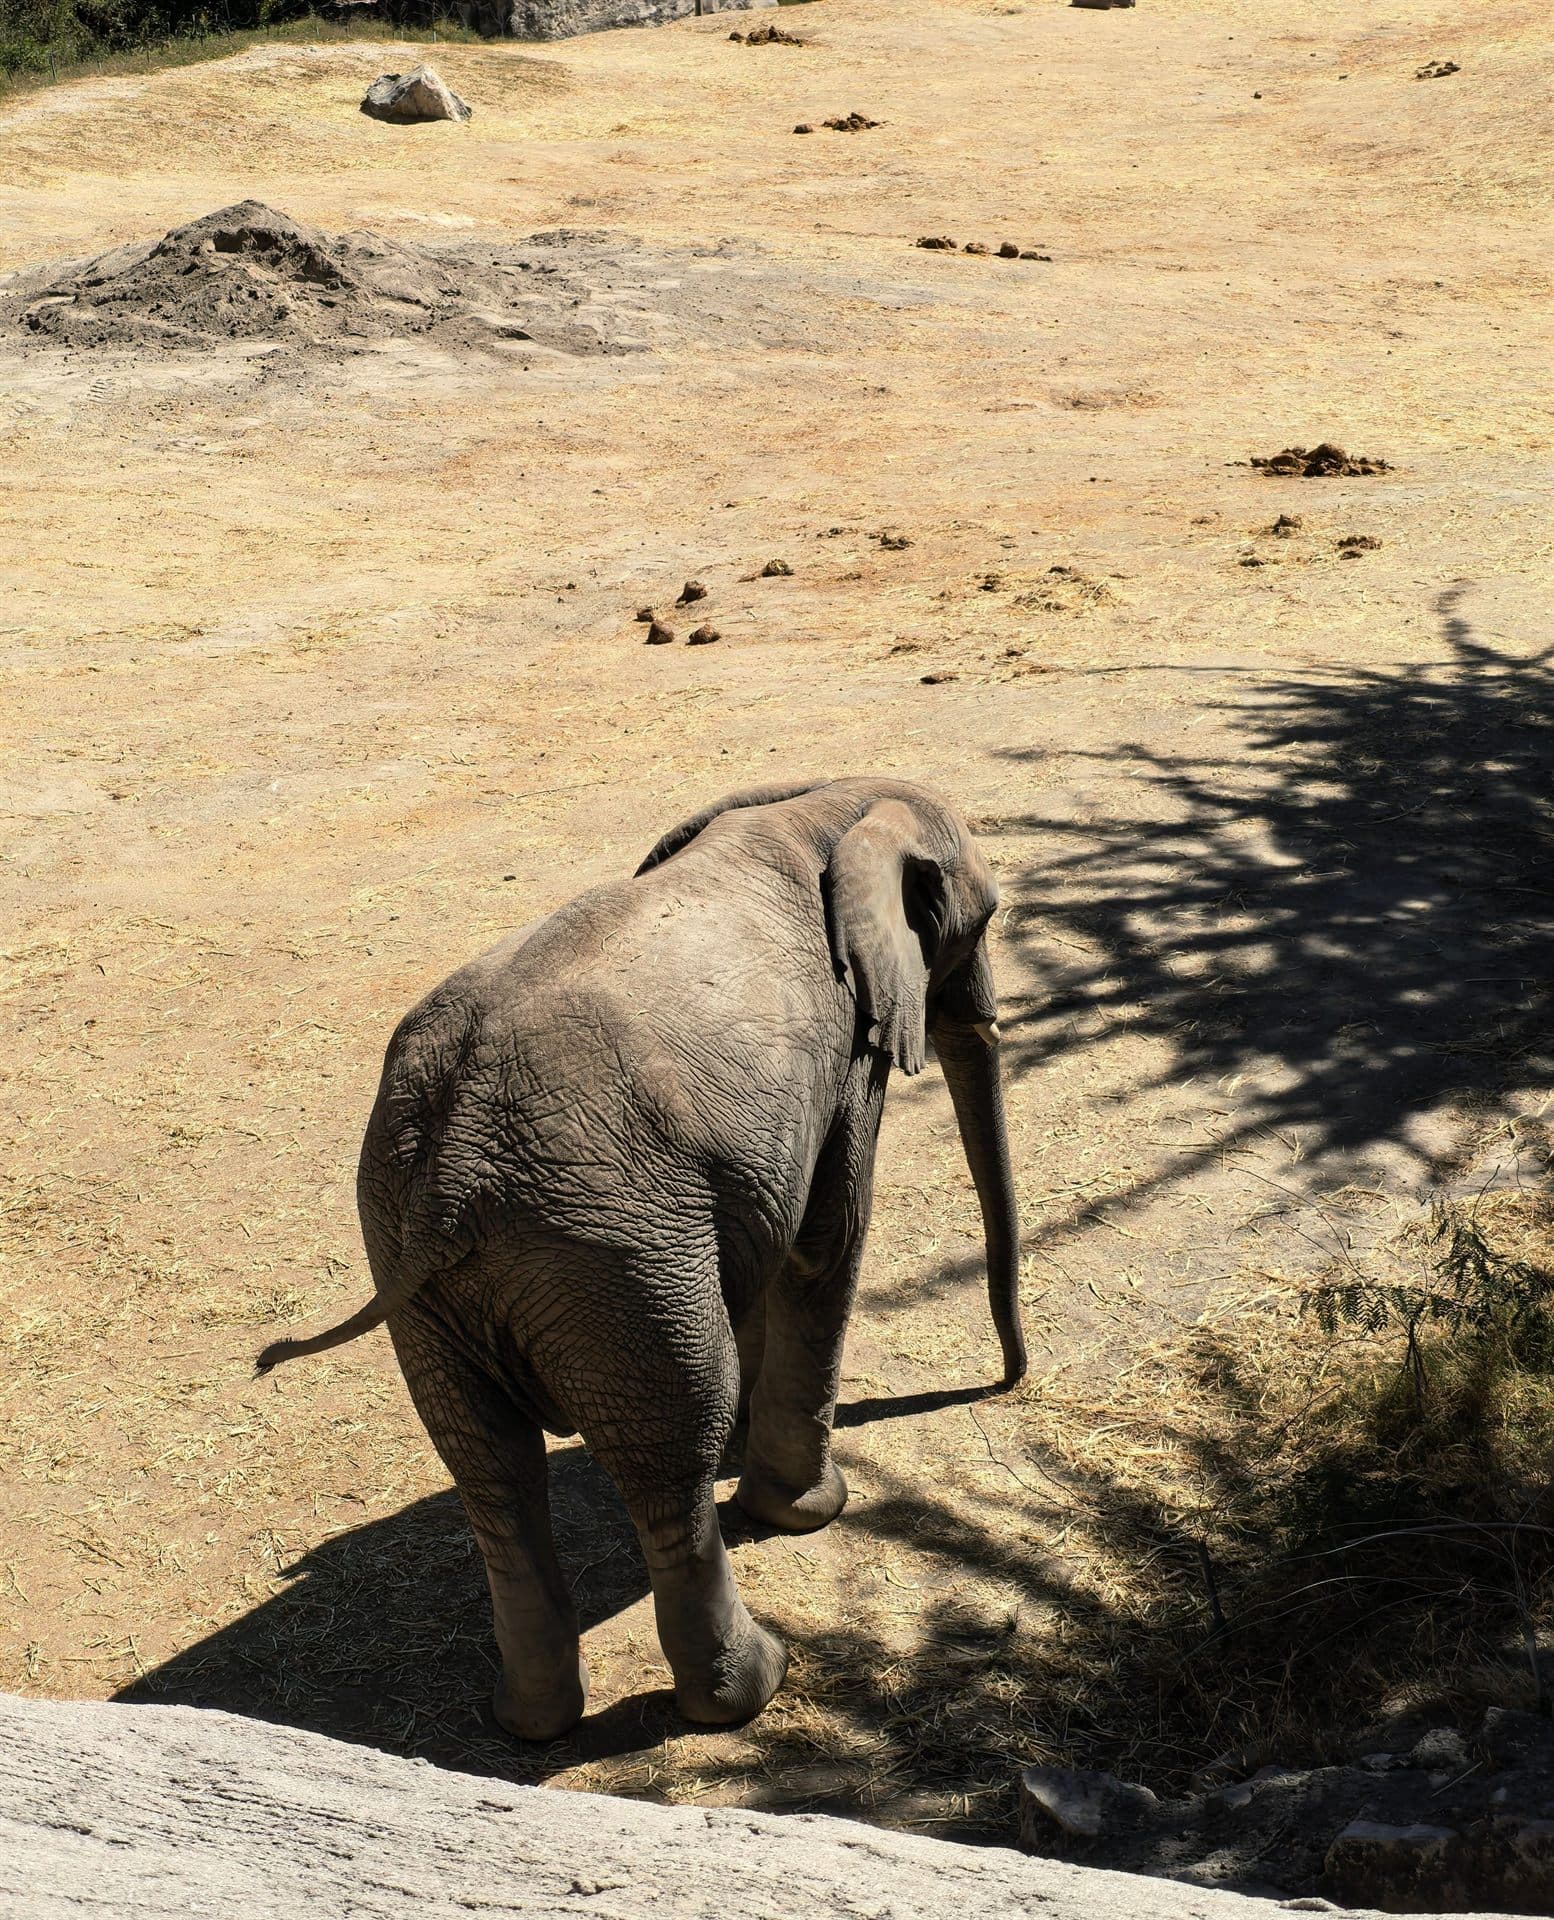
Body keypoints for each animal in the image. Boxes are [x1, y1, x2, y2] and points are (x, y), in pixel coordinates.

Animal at [257, 776, 1025, 1739]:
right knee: (668, 1449)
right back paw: (749, 1688)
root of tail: (453, 1160)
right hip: (610, 1257)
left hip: (432, 1260)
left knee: (488, 1462)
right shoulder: (847, 1052)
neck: (829, 801)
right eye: (986, 918)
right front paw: (813, 1511)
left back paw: (531, 1721)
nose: (1007, 1381)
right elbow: (826, 1240)